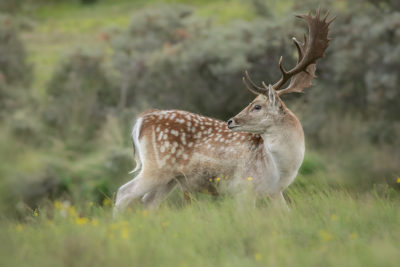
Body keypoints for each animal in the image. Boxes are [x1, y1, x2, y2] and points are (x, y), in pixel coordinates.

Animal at [113, 9, 334, 217]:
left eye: (257, 106)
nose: (231, 121)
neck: (280, 168)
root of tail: (141, 120)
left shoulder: (274, 192)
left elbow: (287, 214)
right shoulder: (244, 187)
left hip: (170, 179)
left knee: (148, 203)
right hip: (156, 167)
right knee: (123, 193)